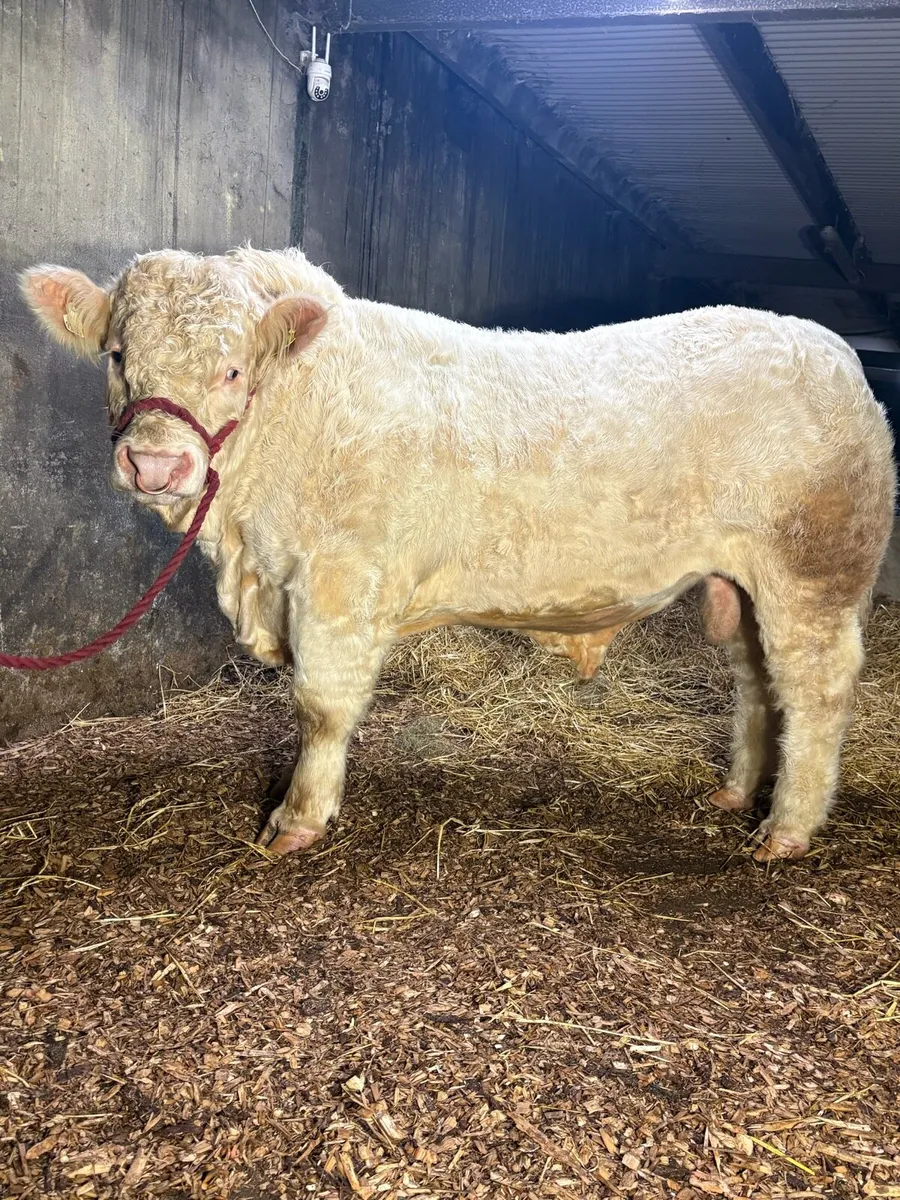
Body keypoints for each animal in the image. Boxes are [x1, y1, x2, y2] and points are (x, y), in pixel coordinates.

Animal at [21, 247, 896, 863]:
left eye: (233, 368)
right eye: (118, 356)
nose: (154, 464)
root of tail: (832, 352)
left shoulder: (339, 580)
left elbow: (320, 706)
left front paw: (297, 820)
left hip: (812, 574)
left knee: (814, 691)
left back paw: (786, 829)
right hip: (741, 585)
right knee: (757, 683)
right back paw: (737, 795)